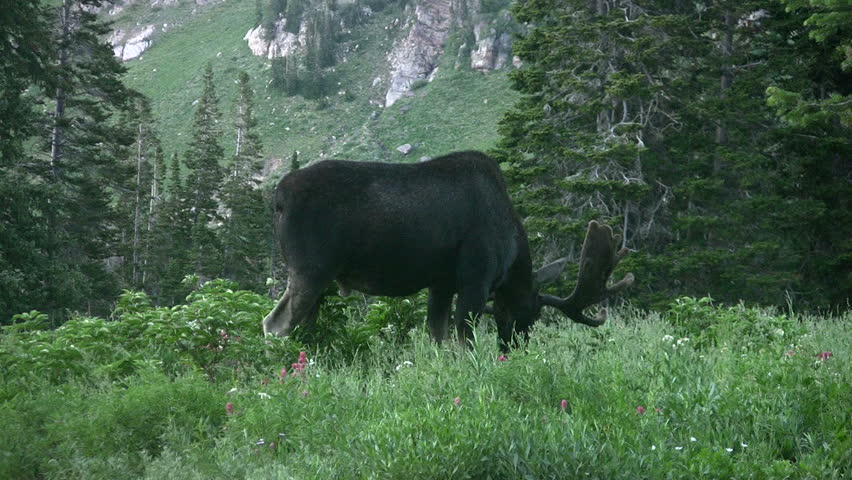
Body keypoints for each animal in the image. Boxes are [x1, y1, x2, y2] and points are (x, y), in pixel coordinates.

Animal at [263, 151, 634, 349]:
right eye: (531, 314)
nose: (515, 348)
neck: (512, 250)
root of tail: (278, 197)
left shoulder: (440, 283)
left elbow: (437, 336)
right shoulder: (475, 277)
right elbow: (464, 340)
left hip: (316, 278)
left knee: (300, 323)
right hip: (310, 268)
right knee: (275, 324)